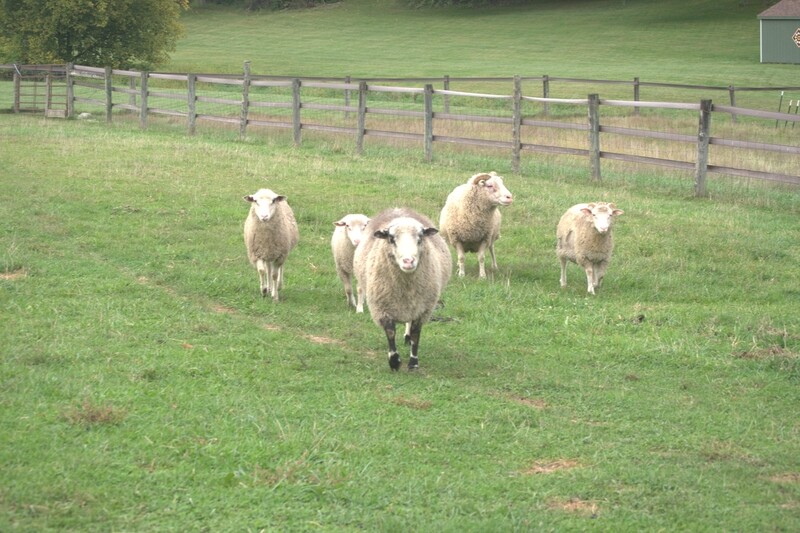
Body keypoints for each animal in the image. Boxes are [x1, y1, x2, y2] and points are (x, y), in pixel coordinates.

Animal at [354, 208, 454, 370]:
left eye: (420, 238)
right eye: (391, 239)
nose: (408, 261)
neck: (406, 287)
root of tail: (399, 209)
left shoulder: (423, 309)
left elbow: (415, 334)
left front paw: (413, 362)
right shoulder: (382, 308)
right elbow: (390, 332)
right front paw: (394, 361)